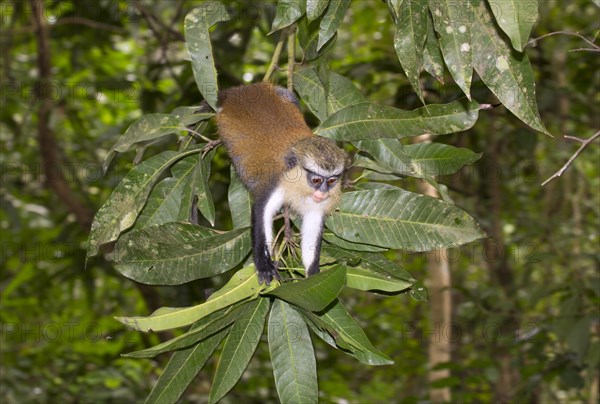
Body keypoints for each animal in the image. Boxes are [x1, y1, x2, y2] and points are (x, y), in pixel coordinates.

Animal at [216, 82, 346, 284]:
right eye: (316, 180)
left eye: (331, 181)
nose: (323, 192)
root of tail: (243, 90)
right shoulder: (276, 182)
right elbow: (261, 210)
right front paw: (264, 266)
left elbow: (312, 225)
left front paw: (313, 273)